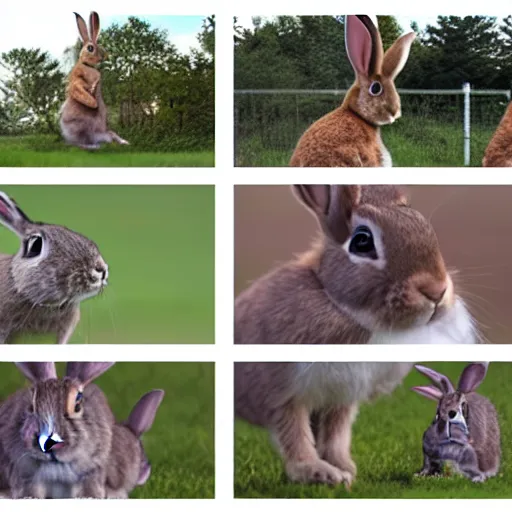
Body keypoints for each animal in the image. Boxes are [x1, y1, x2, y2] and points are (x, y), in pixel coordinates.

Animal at [59, 11, 129, 150]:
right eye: (90, 48)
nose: (104, 56)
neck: (87, 65)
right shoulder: (76, 81)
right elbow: (79, 90)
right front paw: (93, 102)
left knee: (110, 134)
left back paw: (123, 142)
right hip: (79, 128)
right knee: (79, 142)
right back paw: (93, 146)